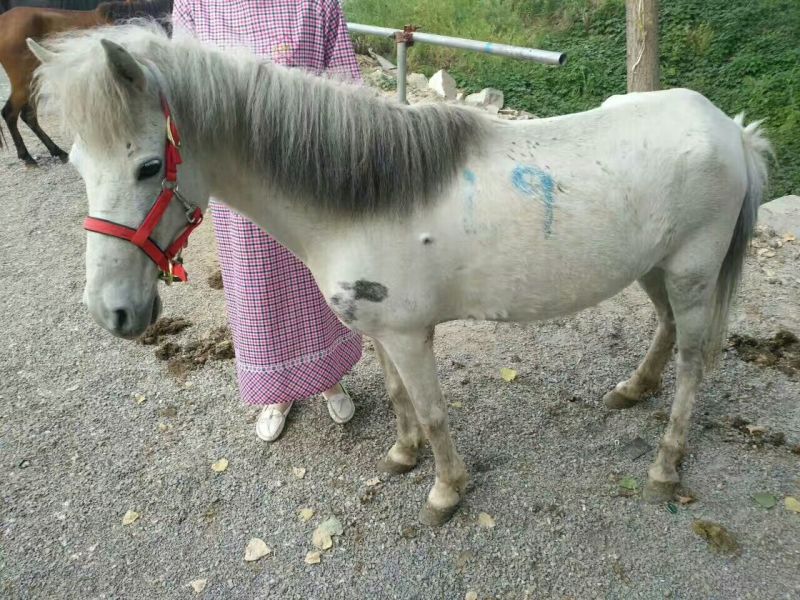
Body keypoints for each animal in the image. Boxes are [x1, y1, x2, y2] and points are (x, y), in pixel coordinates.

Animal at [28, 24, 771, 526]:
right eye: (77, 163)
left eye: (149, 166)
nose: (111, 312)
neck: (360, 200)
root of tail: (731, 130)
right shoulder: (381, 327)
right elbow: (397, 395)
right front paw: (403, 456)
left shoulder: (412, 334)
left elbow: (436, 410)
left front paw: (445, 491)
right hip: (656, 269)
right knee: (666, 331)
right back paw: (632, 390)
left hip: (693, 272)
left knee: (694, 362)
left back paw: (665, 465)